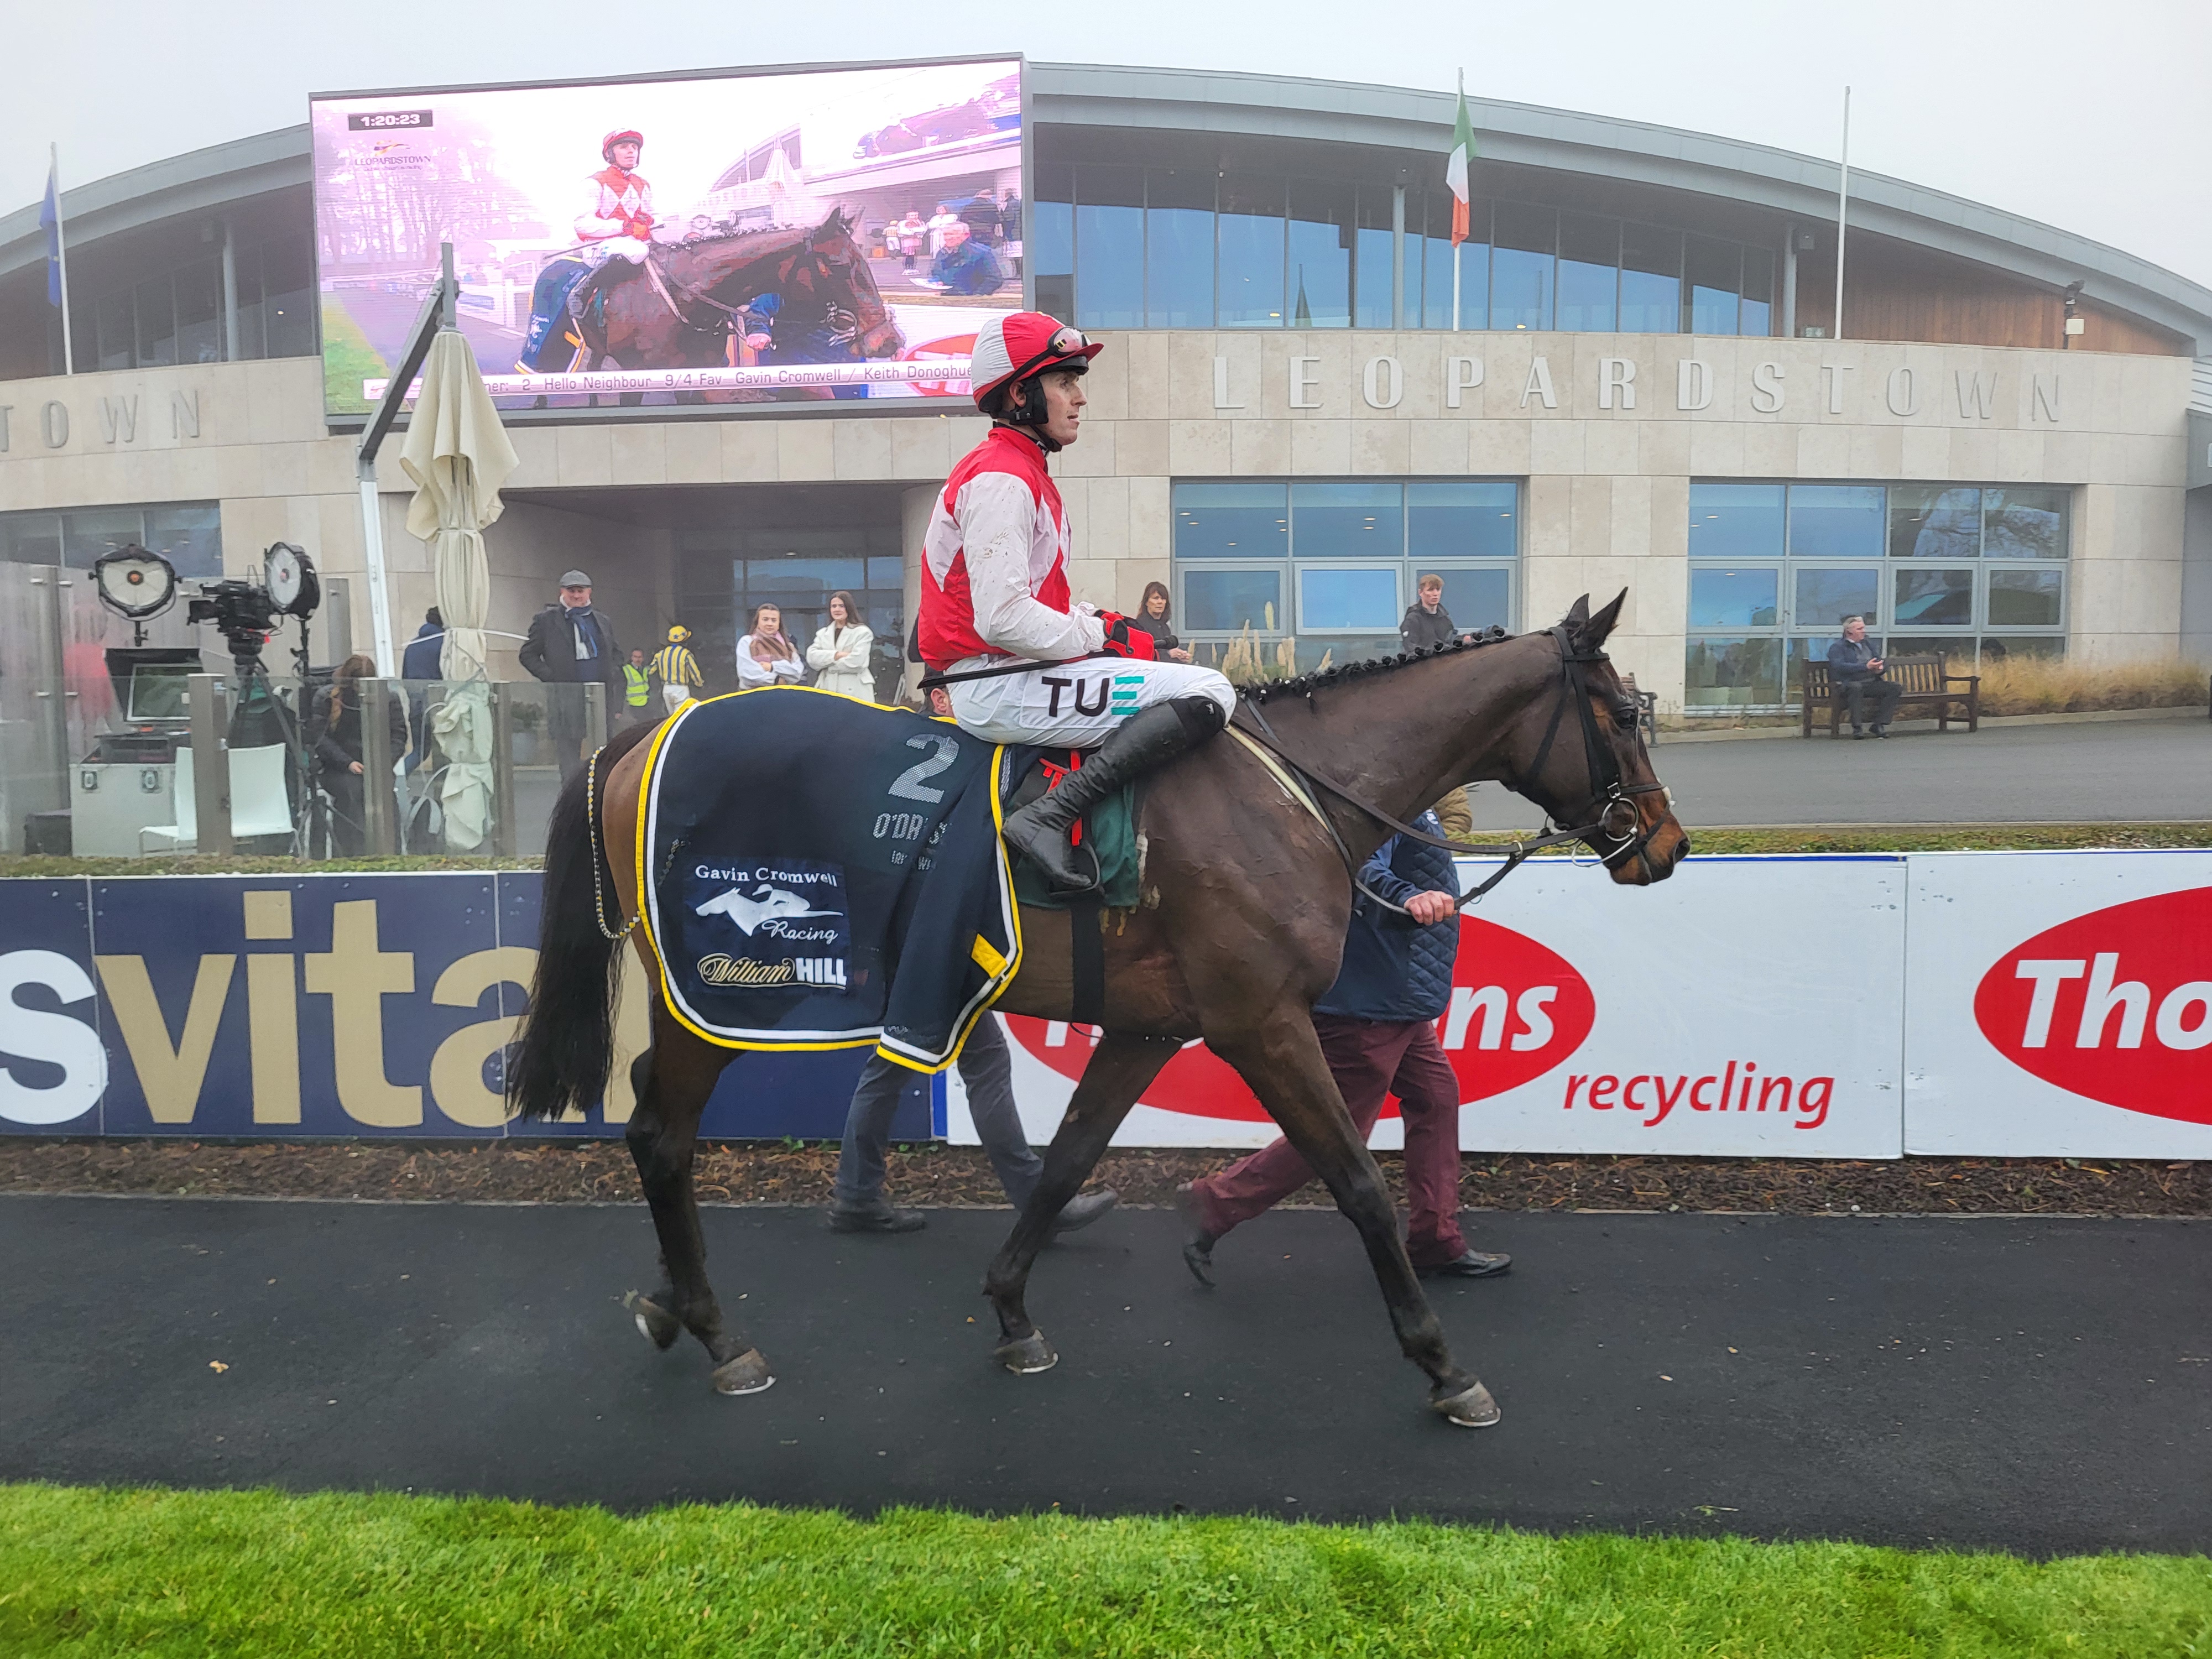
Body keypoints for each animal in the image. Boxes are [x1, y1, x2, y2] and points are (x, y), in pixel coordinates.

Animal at [509, 593, 1681, 1433]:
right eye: (1624, 715)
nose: (1665, 845)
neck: (1288, 791)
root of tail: (637, 737)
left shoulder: (1147, 1028)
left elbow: (1067, 1159)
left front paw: (1013, 1313)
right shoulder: (1262, 1022)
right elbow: (1357, 1183)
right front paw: (1443, 1365)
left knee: (656, 1124)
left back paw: (673, 1305)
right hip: (718, 991)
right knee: (661, 1133)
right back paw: (719, 1336)